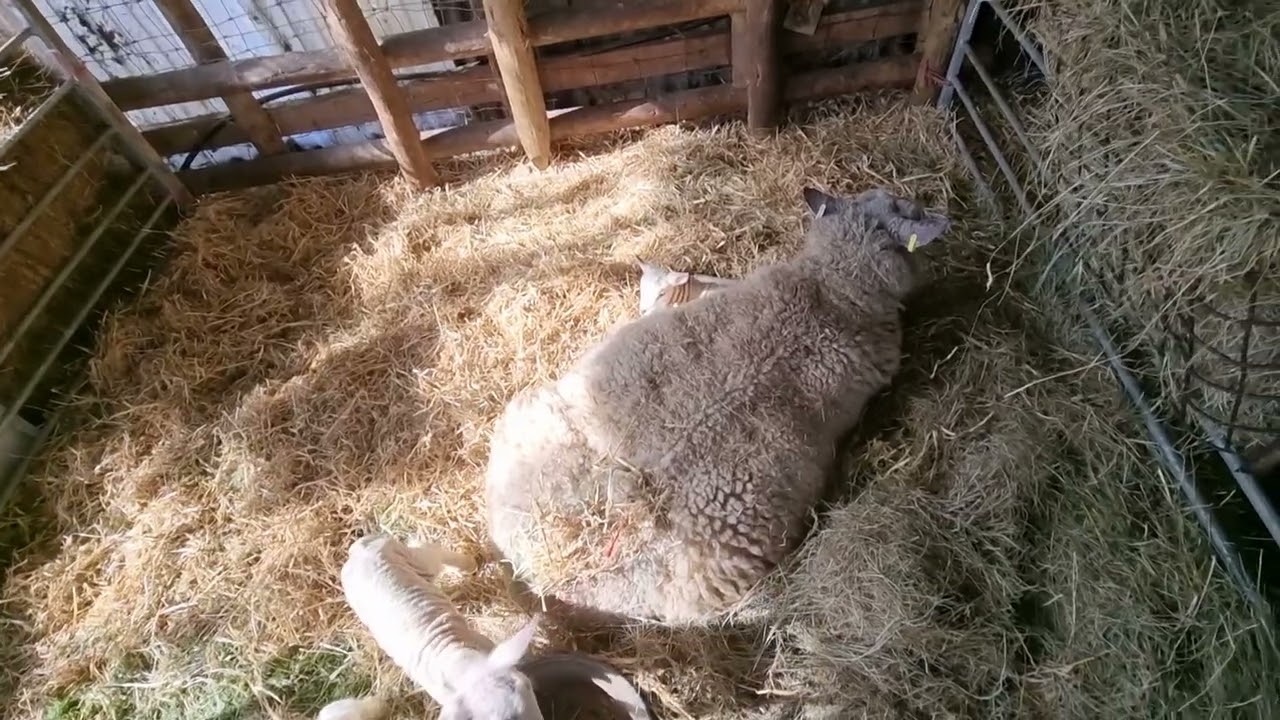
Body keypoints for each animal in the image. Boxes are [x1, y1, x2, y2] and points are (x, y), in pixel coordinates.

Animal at [333, 533, 545, 720]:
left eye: (527, 686)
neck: (458, 663)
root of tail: (356, 552)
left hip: (409, 558)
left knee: (429, 551)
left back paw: (467, 565)